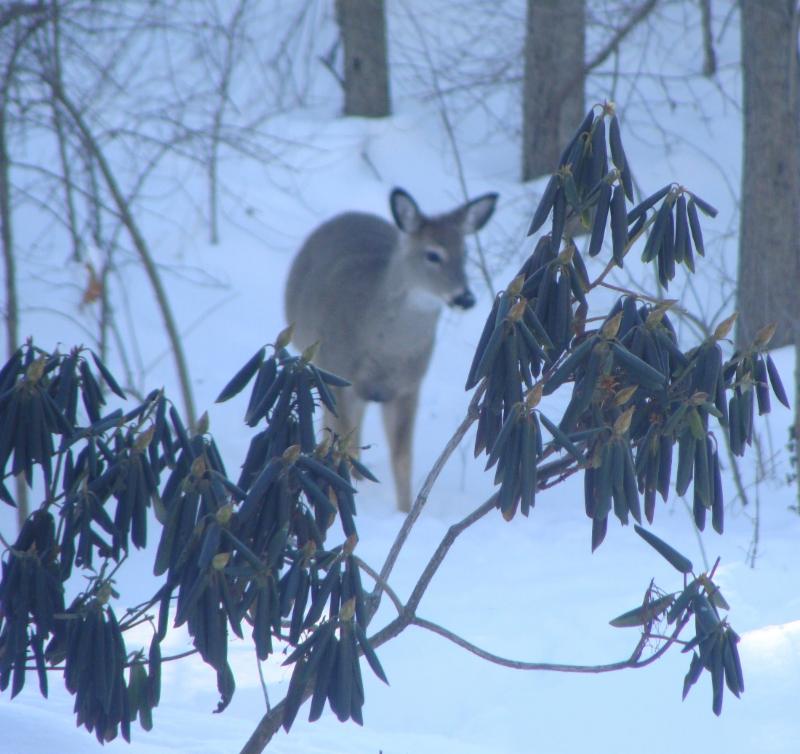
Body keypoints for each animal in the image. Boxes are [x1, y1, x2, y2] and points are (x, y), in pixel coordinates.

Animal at [284, 187, 498, 513]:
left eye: (465, 254)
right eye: (433, 254)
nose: (465, 297)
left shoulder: (408, 386)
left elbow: (402, 457)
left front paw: (405, 511)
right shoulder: (339, 370)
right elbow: (344, 444)